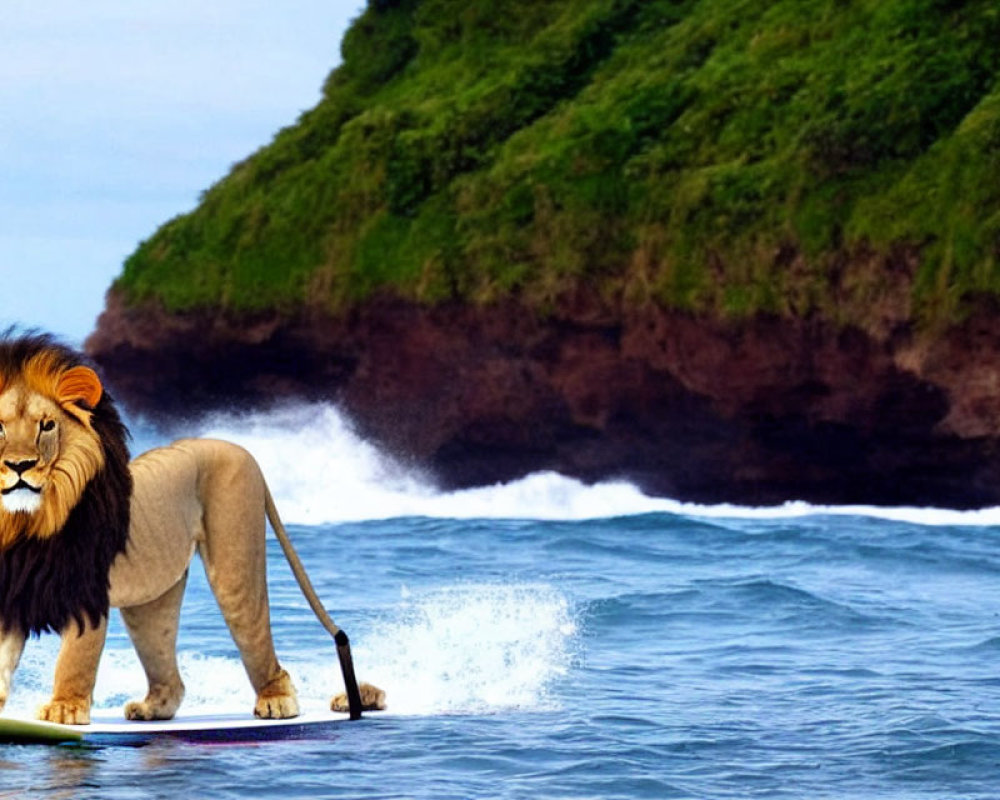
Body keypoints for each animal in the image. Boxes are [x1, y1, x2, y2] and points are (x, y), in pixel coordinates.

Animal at [0, 332, 382, 724]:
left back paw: (276, 701)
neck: (24, 524)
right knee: (167, 665)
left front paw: (63, 709)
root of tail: (242, 448)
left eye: (47, 426)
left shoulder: (86, 596)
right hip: (151, 599)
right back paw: (152, 708)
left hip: (234, 563)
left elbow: (74, 659)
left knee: (255, 635)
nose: (20, 465)